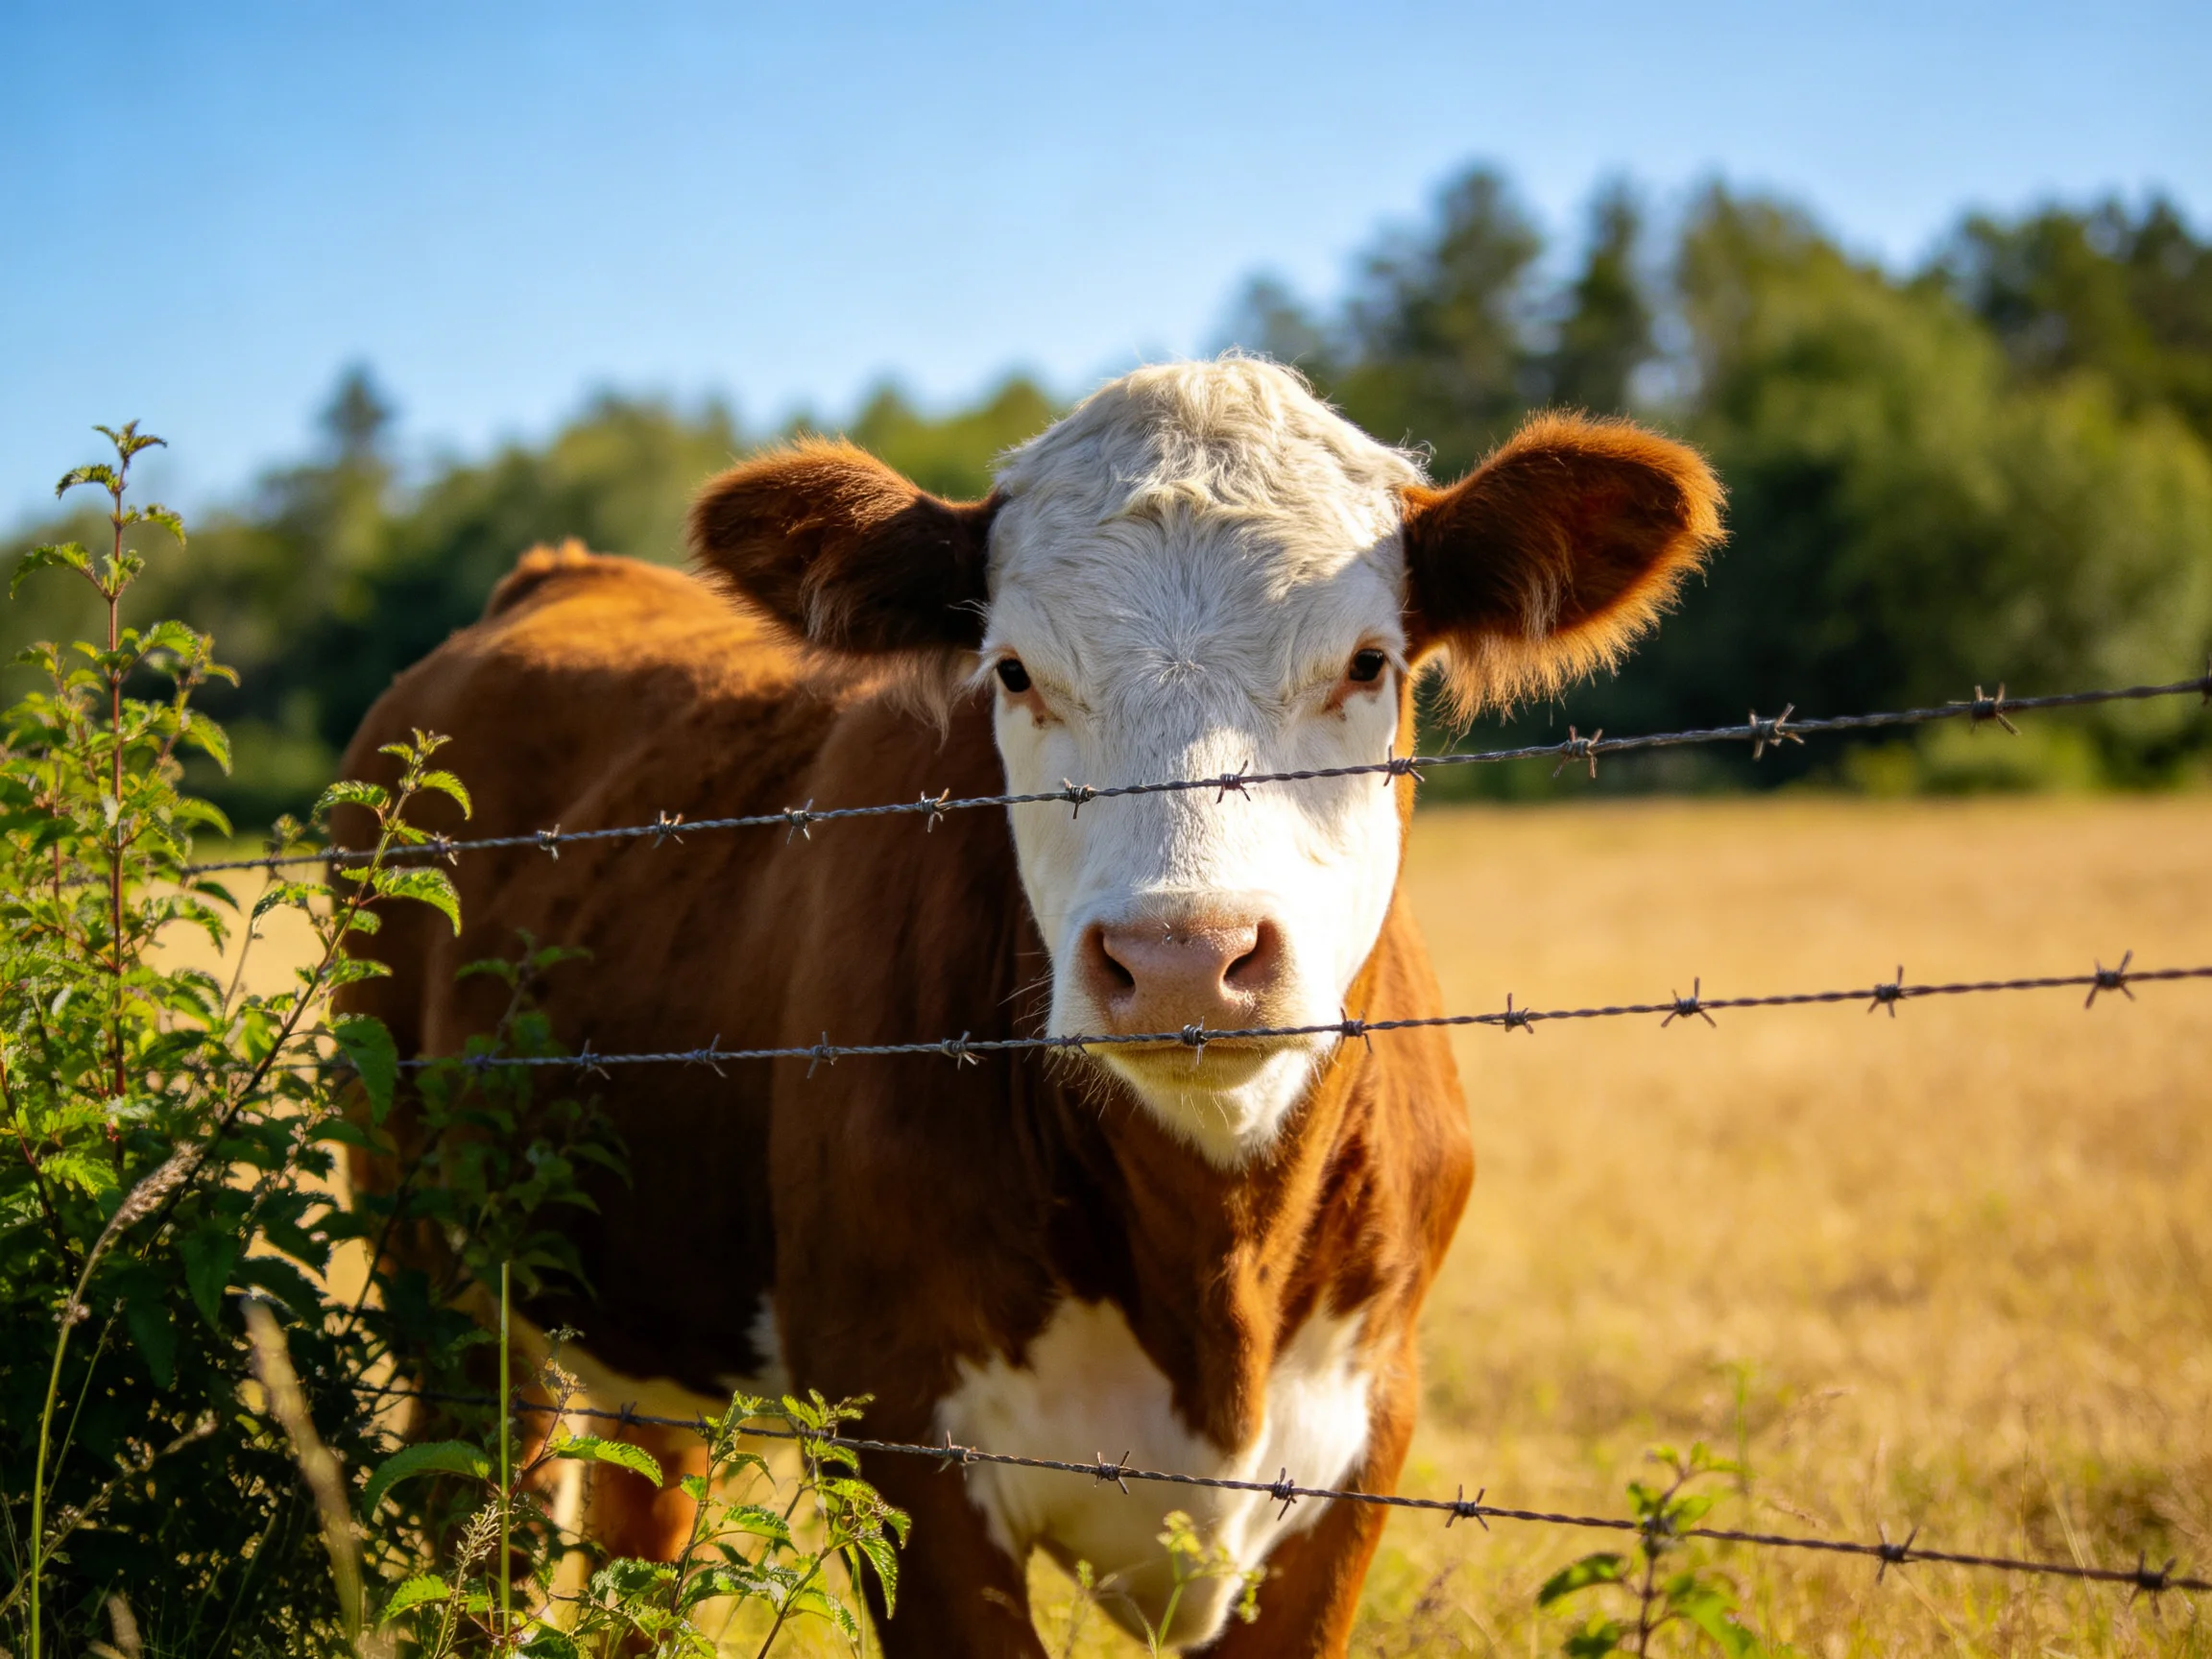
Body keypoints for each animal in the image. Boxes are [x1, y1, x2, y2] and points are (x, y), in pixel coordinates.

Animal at [339, 357, 1721, 1656]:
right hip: (438, 1274)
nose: (1181, 960)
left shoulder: (1362, 1439)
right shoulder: (903, 1434)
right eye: (1013, 671)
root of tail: (559, 575)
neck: (1216, 1275)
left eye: (1369, 663)